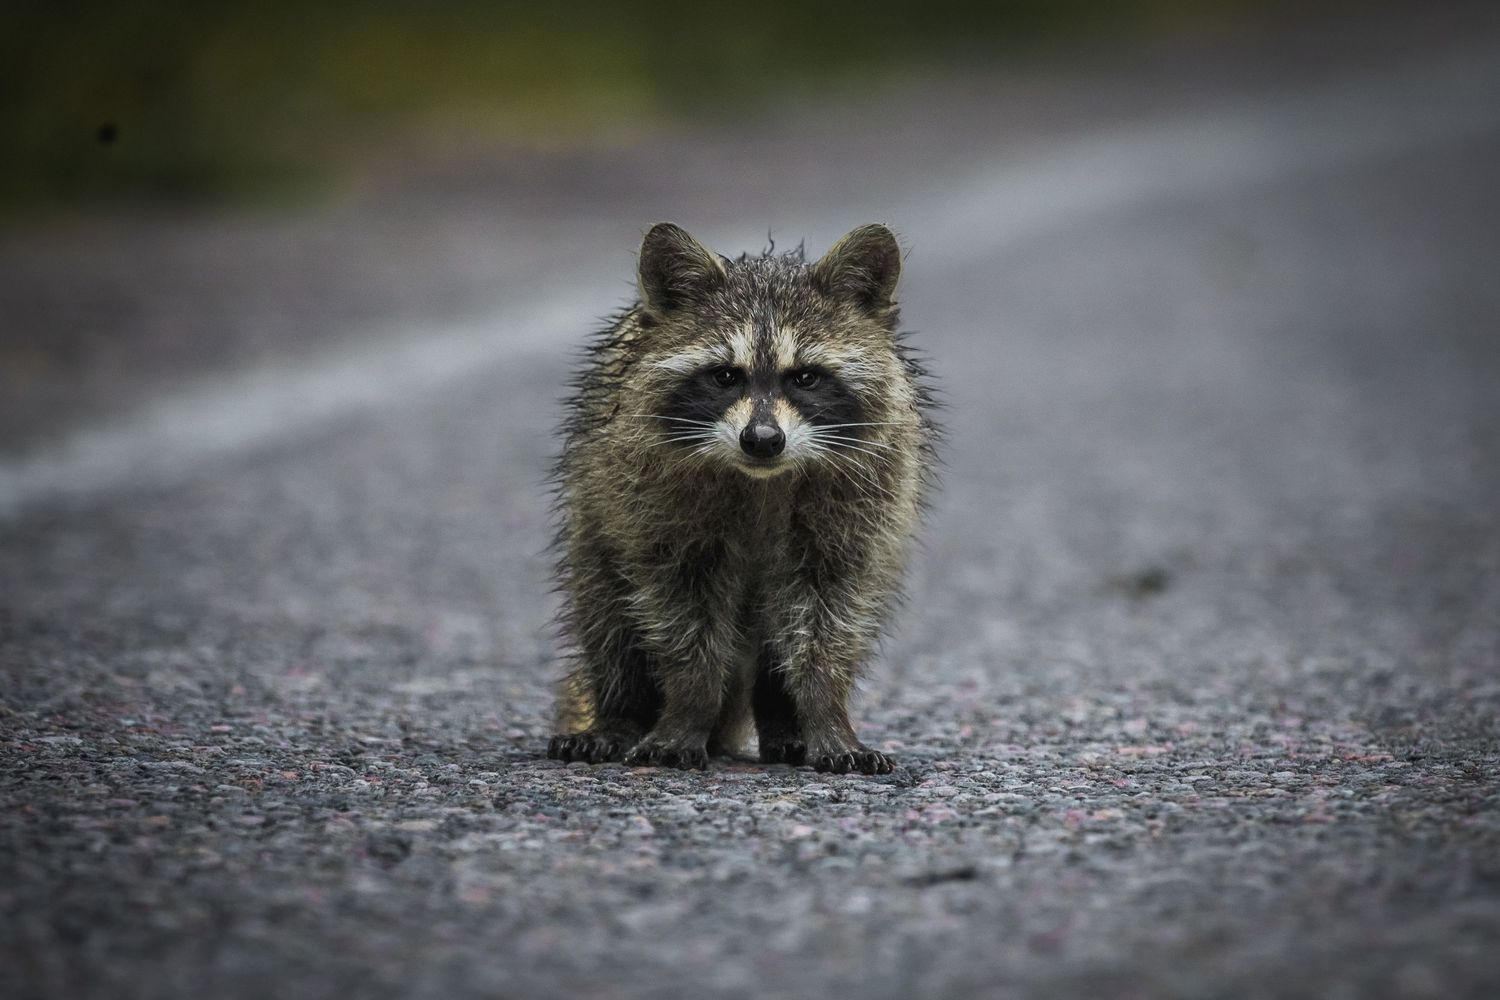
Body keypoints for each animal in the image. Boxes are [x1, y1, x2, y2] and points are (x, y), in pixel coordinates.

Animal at [547, 222, 937, 774]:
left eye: (805, 377)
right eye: (725, 375)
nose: (763, 439)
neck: (762, 479)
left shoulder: (862, 501)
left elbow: (829, 615)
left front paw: (825, 713)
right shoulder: (652, 500)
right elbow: (683, 614)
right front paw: (688, 708)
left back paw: (782, 721)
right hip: (592, 516)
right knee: (606, 615)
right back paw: (621, 712)